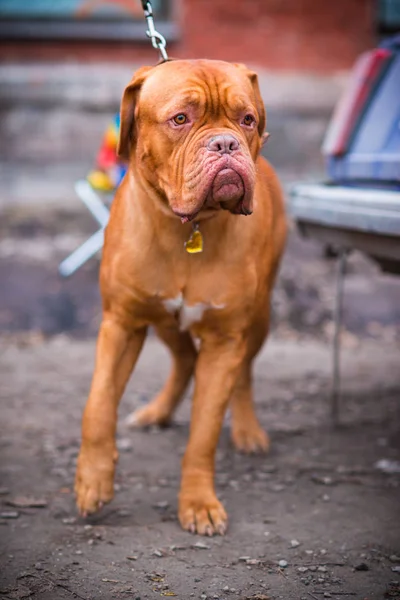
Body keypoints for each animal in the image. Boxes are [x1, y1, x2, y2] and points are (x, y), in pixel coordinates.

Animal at [75, 59, 286, 536]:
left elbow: (204, 433)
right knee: (184, 358)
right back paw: (156, 412)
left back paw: (247, 430)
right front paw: (93, 480)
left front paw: (199, 502)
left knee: (243, 373)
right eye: (180, 119)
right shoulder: (122, 323)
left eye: (247, 119)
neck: (189, 227)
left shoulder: (225, 340)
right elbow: (98, 405)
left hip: (258, 318)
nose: (226, 143)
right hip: (162, 321)